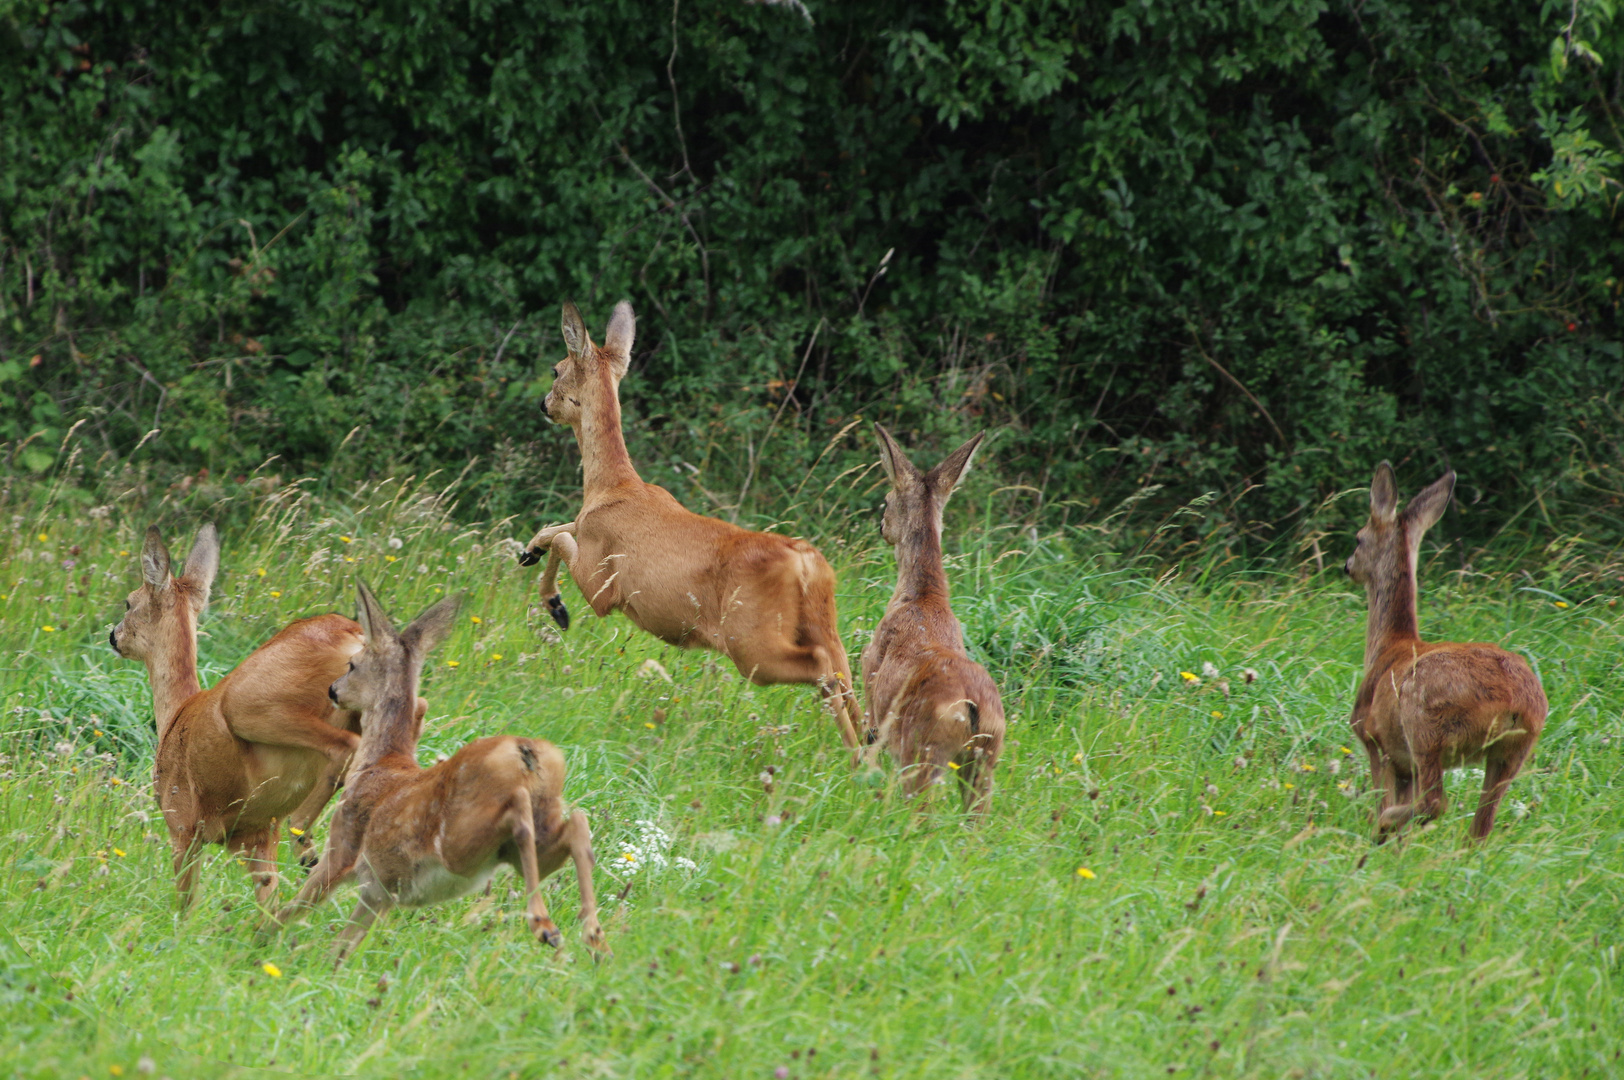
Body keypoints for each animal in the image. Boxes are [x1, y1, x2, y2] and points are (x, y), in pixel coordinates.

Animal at [112, 519, 367, 902]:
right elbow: (268, 902)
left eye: (129, 602)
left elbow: (184, 903)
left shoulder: (182, 823)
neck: (177, 712)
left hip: (251, 706)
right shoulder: (256, 836)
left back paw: (304, 841)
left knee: (345, 746)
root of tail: (354, 636)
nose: (113, 635)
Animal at [266, 581, 610, 961]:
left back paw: (546, 926)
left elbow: (293, 908)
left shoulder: (343, 845)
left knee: (520, 817)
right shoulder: (380, 892)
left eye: (352, 664)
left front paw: (257, 941)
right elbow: (343, 946)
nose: (333, 690)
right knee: (575, 825)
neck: (378, 761)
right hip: (533, 840)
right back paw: (592, 937)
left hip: (461, 841)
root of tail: (527, 754)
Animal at [522, 295, 870, 750]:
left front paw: (556, 606)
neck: (610, 486)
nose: (543, 404)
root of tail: (808, 564)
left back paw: (858, 757)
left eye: (556, 369)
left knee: (823, 669)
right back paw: (874, 750)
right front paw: (529, 556)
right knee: (847, 675)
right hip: (821, 623)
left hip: (750, 639)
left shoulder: (602, 585)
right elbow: (556, 528)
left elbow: (563, 538)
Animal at [863, 425, 1000, 812]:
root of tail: (973, 709)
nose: (880, 525)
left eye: (886, 500)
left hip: (921, 751)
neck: (923, 597)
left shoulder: (869, 674)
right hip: (985, 759)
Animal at [1344, 457, 1546, 838]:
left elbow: (1382, 797)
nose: (1346, 565)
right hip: (1515, 749)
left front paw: (1382, 830)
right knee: (1482, 826)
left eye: (1358, 538)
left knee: (1435, 802)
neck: (1388, 646)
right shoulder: (1402, 763)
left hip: (1426, 726)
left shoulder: (1374, 738)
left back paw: (1384, 824)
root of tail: (1516, 703)